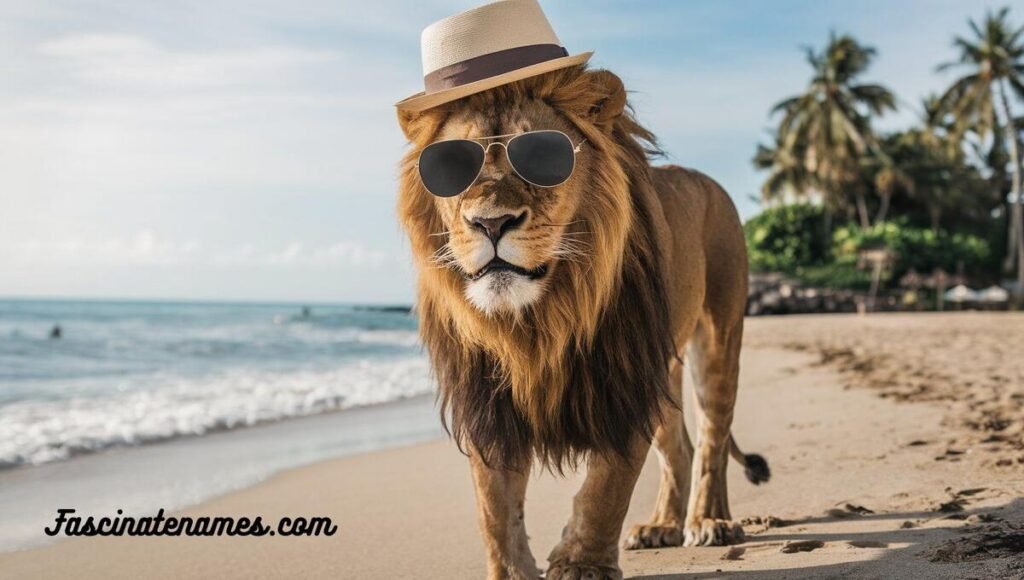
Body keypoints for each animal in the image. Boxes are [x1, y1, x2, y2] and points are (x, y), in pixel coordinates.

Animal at [397, 65, 770, 580]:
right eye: (451, 167)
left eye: (542, 155)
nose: (491, 224)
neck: (537, 320)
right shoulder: (488, 399)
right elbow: (494, 507)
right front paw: (511, 572)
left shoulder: (625, 375)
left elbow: (606, 488)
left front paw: (581, 565)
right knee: (680, 449)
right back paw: (661, 526)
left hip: (718, 337)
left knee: (711, 441)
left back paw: (710, 521)